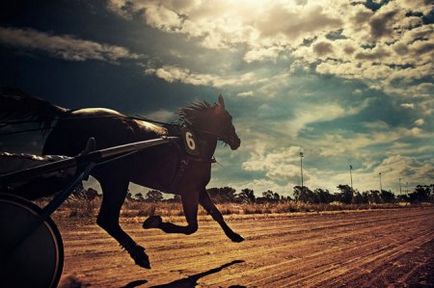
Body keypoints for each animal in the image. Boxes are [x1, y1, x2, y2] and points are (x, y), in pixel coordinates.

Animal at [0, 89, 244, 268]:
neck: (194, 145)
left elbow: (216, 214)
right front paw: (155, 222)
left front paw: (234, 236)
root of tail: (66, 112)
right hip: (111, 177)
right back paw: (139, 255)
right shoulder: (188, 190)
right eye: (228, 118)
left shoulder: (199, 190)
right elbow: (192, 226)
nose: (237, 141)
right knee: (106, 220)